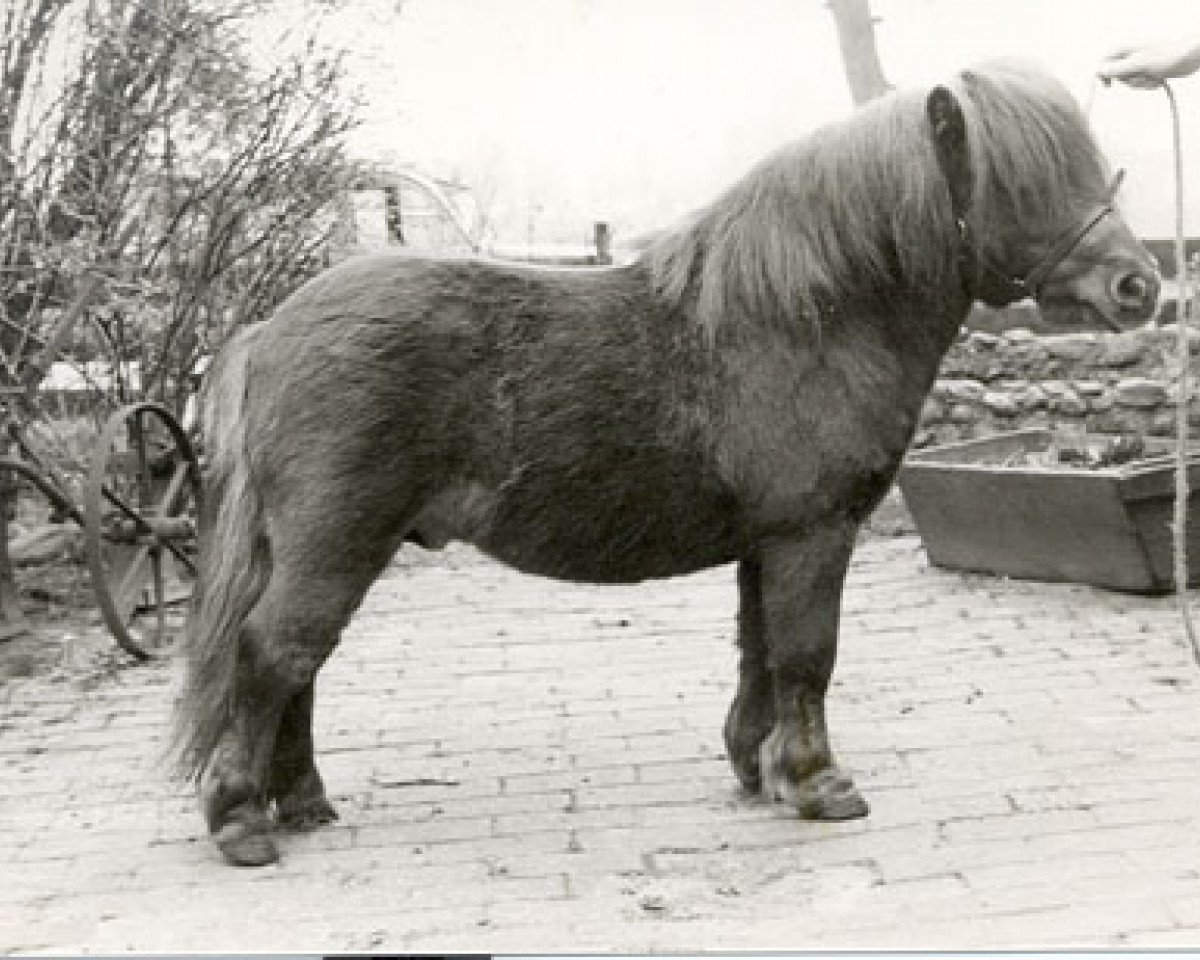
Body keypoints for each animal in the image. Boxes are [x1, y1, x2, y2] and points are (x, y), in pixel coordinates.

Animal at [173, 59, 1160, 867]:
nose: (1139, 286)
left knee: (297, 663)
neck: (808, 317)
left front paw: (761, 770)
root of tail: (268, 331)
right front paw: (821, 783)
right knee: (274, 650)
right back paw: (242, 820)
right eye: (1022, 182)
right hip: (336, 541)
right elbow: (808, 653)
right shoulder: (813, 532)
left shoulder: (769, 540)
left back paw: (302, 803)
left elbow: (760, 650)